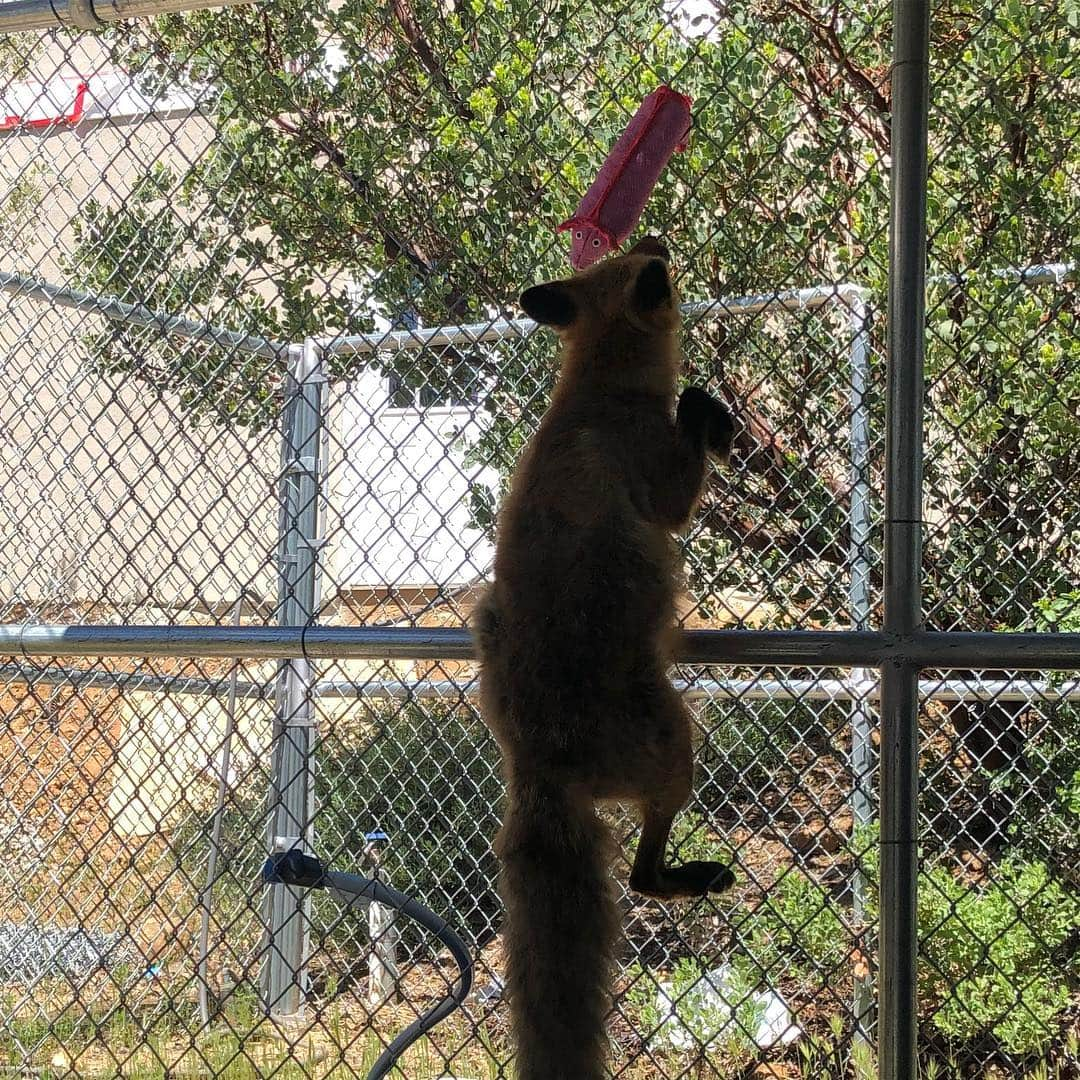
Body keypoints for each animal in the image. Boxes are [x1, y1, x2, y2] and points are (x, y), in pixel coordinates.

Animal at [473, 238, 734, 1080]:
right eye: (647, 266)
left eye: (633, 247)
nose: (660, 243)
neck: (596, 387)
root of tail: (535, 768)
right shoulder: (660, 484)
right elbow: (687, 464)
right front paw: (709, 413)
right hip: (675, 742)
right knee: (643, 877)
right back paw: (685, 878)